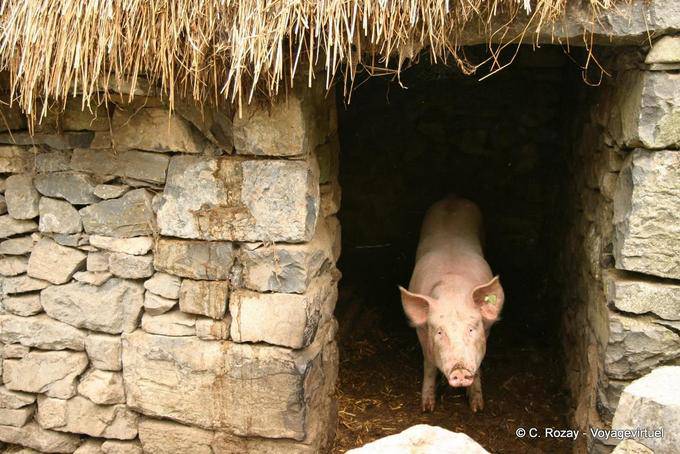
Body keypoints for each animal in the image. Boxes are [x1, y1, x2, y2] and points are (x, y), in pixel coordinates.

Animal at [399, 195, 504, 413]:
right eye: (440, 332)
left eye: (472, 329)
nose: (460, 369)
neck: (452, 291)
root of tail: (453, 197)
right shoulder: (421, 331)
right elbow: (429, 364)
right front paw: (427, 407)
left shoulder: (487, 329)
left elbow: (479, 366)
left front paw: (477, 407)